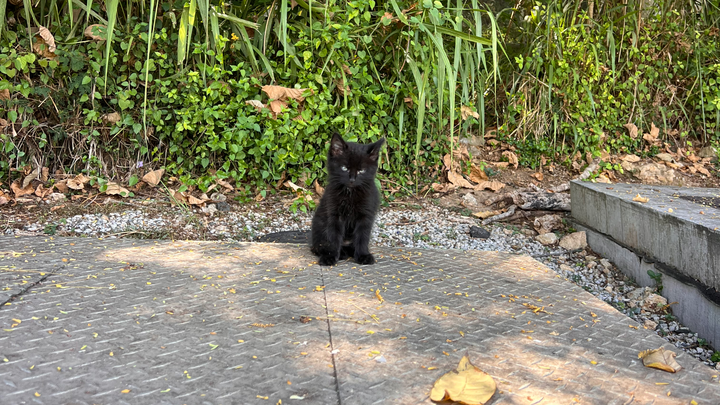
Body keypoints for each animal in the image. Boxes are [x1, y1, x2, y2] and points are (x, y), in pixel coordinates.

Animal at [311, 133, 386, 266]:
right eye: (344, 168)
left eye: (361, 170)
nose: (352, 180)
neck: (350, 194)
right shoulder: (334, 213)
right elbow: (333, 236)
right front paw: (330, 256)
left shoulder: (366, 214)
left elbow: (362, 236)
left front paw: (363, 255)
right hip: (318, 226)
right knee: (318, 246)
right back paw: (339, 253)